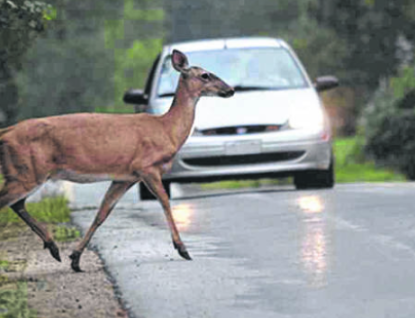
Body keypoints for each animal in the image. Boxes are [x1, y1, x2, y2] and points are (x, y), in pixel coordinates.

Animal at [0, 49, 236, 270]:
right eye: (205, 75)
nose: (230, 89)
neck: (167, 129)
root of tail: (5, 132)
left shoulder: (124, 177)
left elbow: (102, 213)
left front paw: (75, 258)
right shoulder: (146, 166)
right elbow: (165, 202)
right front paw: (183, 249)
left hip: (24, 173)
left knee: (18, 204)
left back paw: (53, 248)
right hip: (28, 171)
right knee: (10, 202)